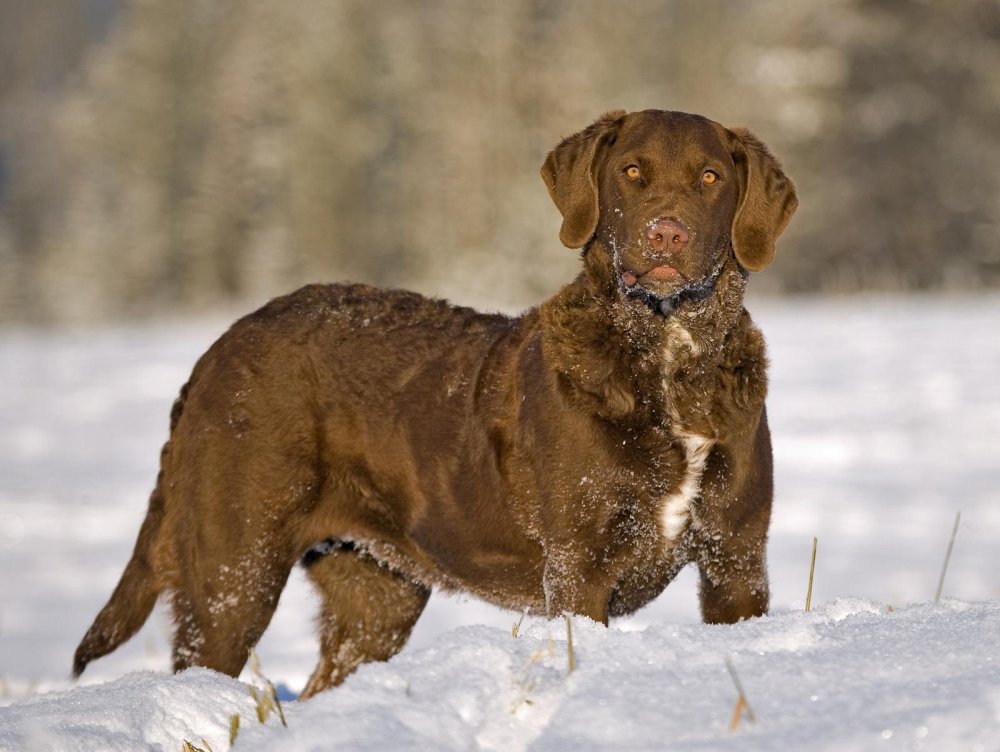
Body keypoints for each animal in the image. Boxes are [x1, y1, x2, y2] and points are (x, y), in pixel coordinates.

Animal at [72, 108, 796, 696]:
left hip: (375, 593)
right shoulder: (578, 568)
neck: (669, 358)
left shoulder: (736, 555)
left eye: (710, 177)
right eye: (632, 171)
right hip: (234, 571)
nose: (666, 234)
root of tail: (217, 349)